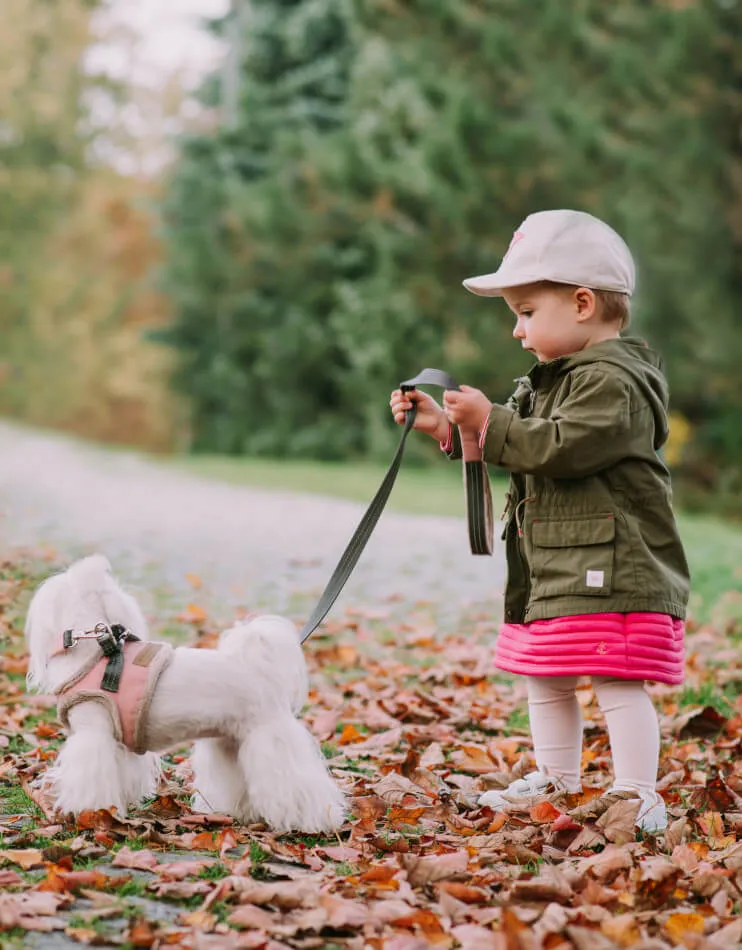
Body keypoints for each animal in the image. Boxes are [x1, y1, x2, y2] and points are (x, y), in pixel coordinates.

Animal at [24, 556, 348, 836]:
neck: (97, 654)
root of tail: (257, 669)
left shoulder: (94, 735)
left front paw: (89, 813)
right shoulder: (119, 741)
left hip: (269, 740)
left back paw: (315, 821)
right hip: (230, 743)